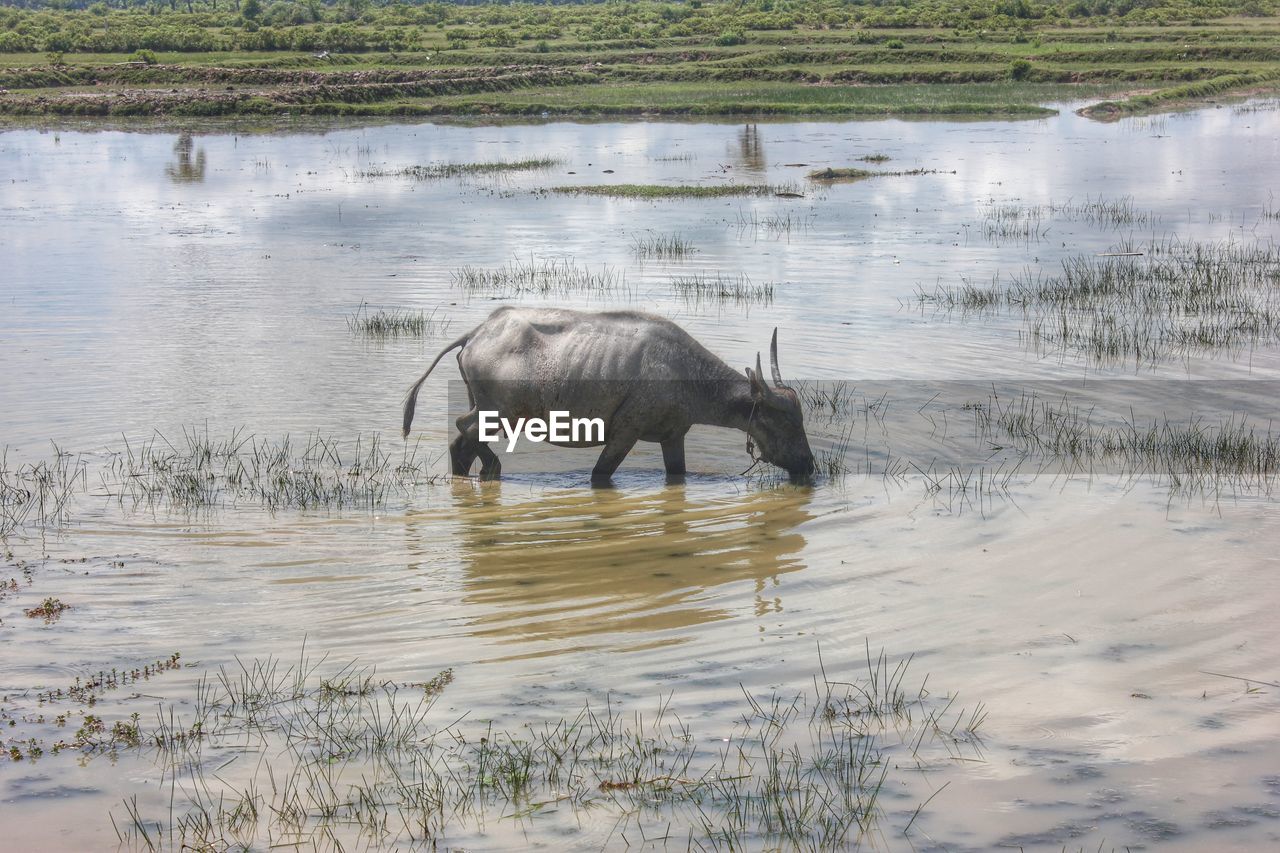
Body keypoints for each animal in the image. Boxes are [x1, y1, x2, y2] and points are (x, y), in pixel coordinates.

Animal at [404, 306, 814, 481]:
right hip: (501, 413)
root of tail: (477, 332)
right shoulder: (625, 432)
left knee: (462, 443)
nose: (809, 465)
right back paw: (491, 467)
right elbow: (600, 474)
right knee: (463, 431)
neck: (681, 372)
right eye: (787, 425)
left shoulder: (673, 437)